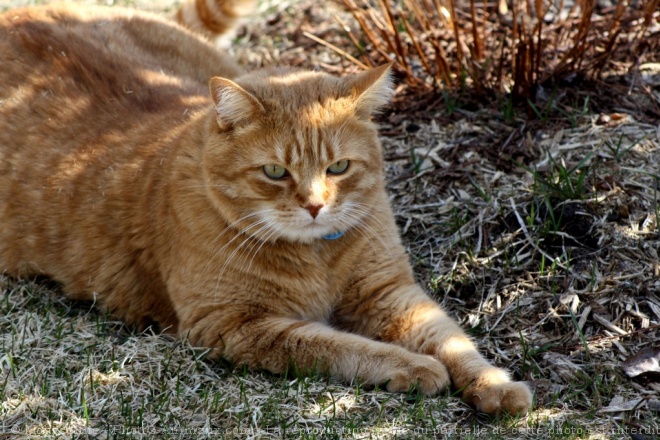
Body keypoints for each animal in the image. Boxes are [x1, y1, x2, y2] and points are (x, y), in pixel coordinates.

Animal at [0, 0, 532, 414]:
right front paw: (414, 366)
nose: (315, 205)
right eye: (275, 172)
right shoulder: (235, 325)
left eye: (339, 167)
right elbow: (338, 346)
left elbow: (452, 339)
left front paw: (496, 386)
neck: (317, 256)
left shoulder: (389, 292)